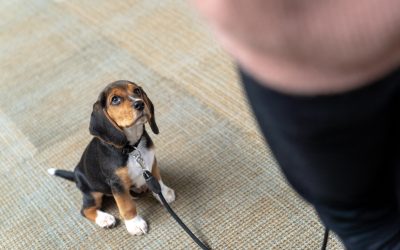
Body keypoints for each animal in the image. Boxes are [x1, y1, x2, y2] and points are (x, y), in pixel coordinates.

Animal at [48, 80, 175, 236]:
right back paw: (105, 219)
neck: (132, 147)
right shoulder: (117, 183)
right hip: (92, 193)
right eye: (115, 99)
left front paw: (164, 194)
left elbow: (157, 179)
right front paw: (134, 224)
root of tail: (75, 174)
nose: (140, 104)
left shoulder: (151, 162)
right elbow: (127, 205)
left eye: (137, 91)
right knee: (85, 210)